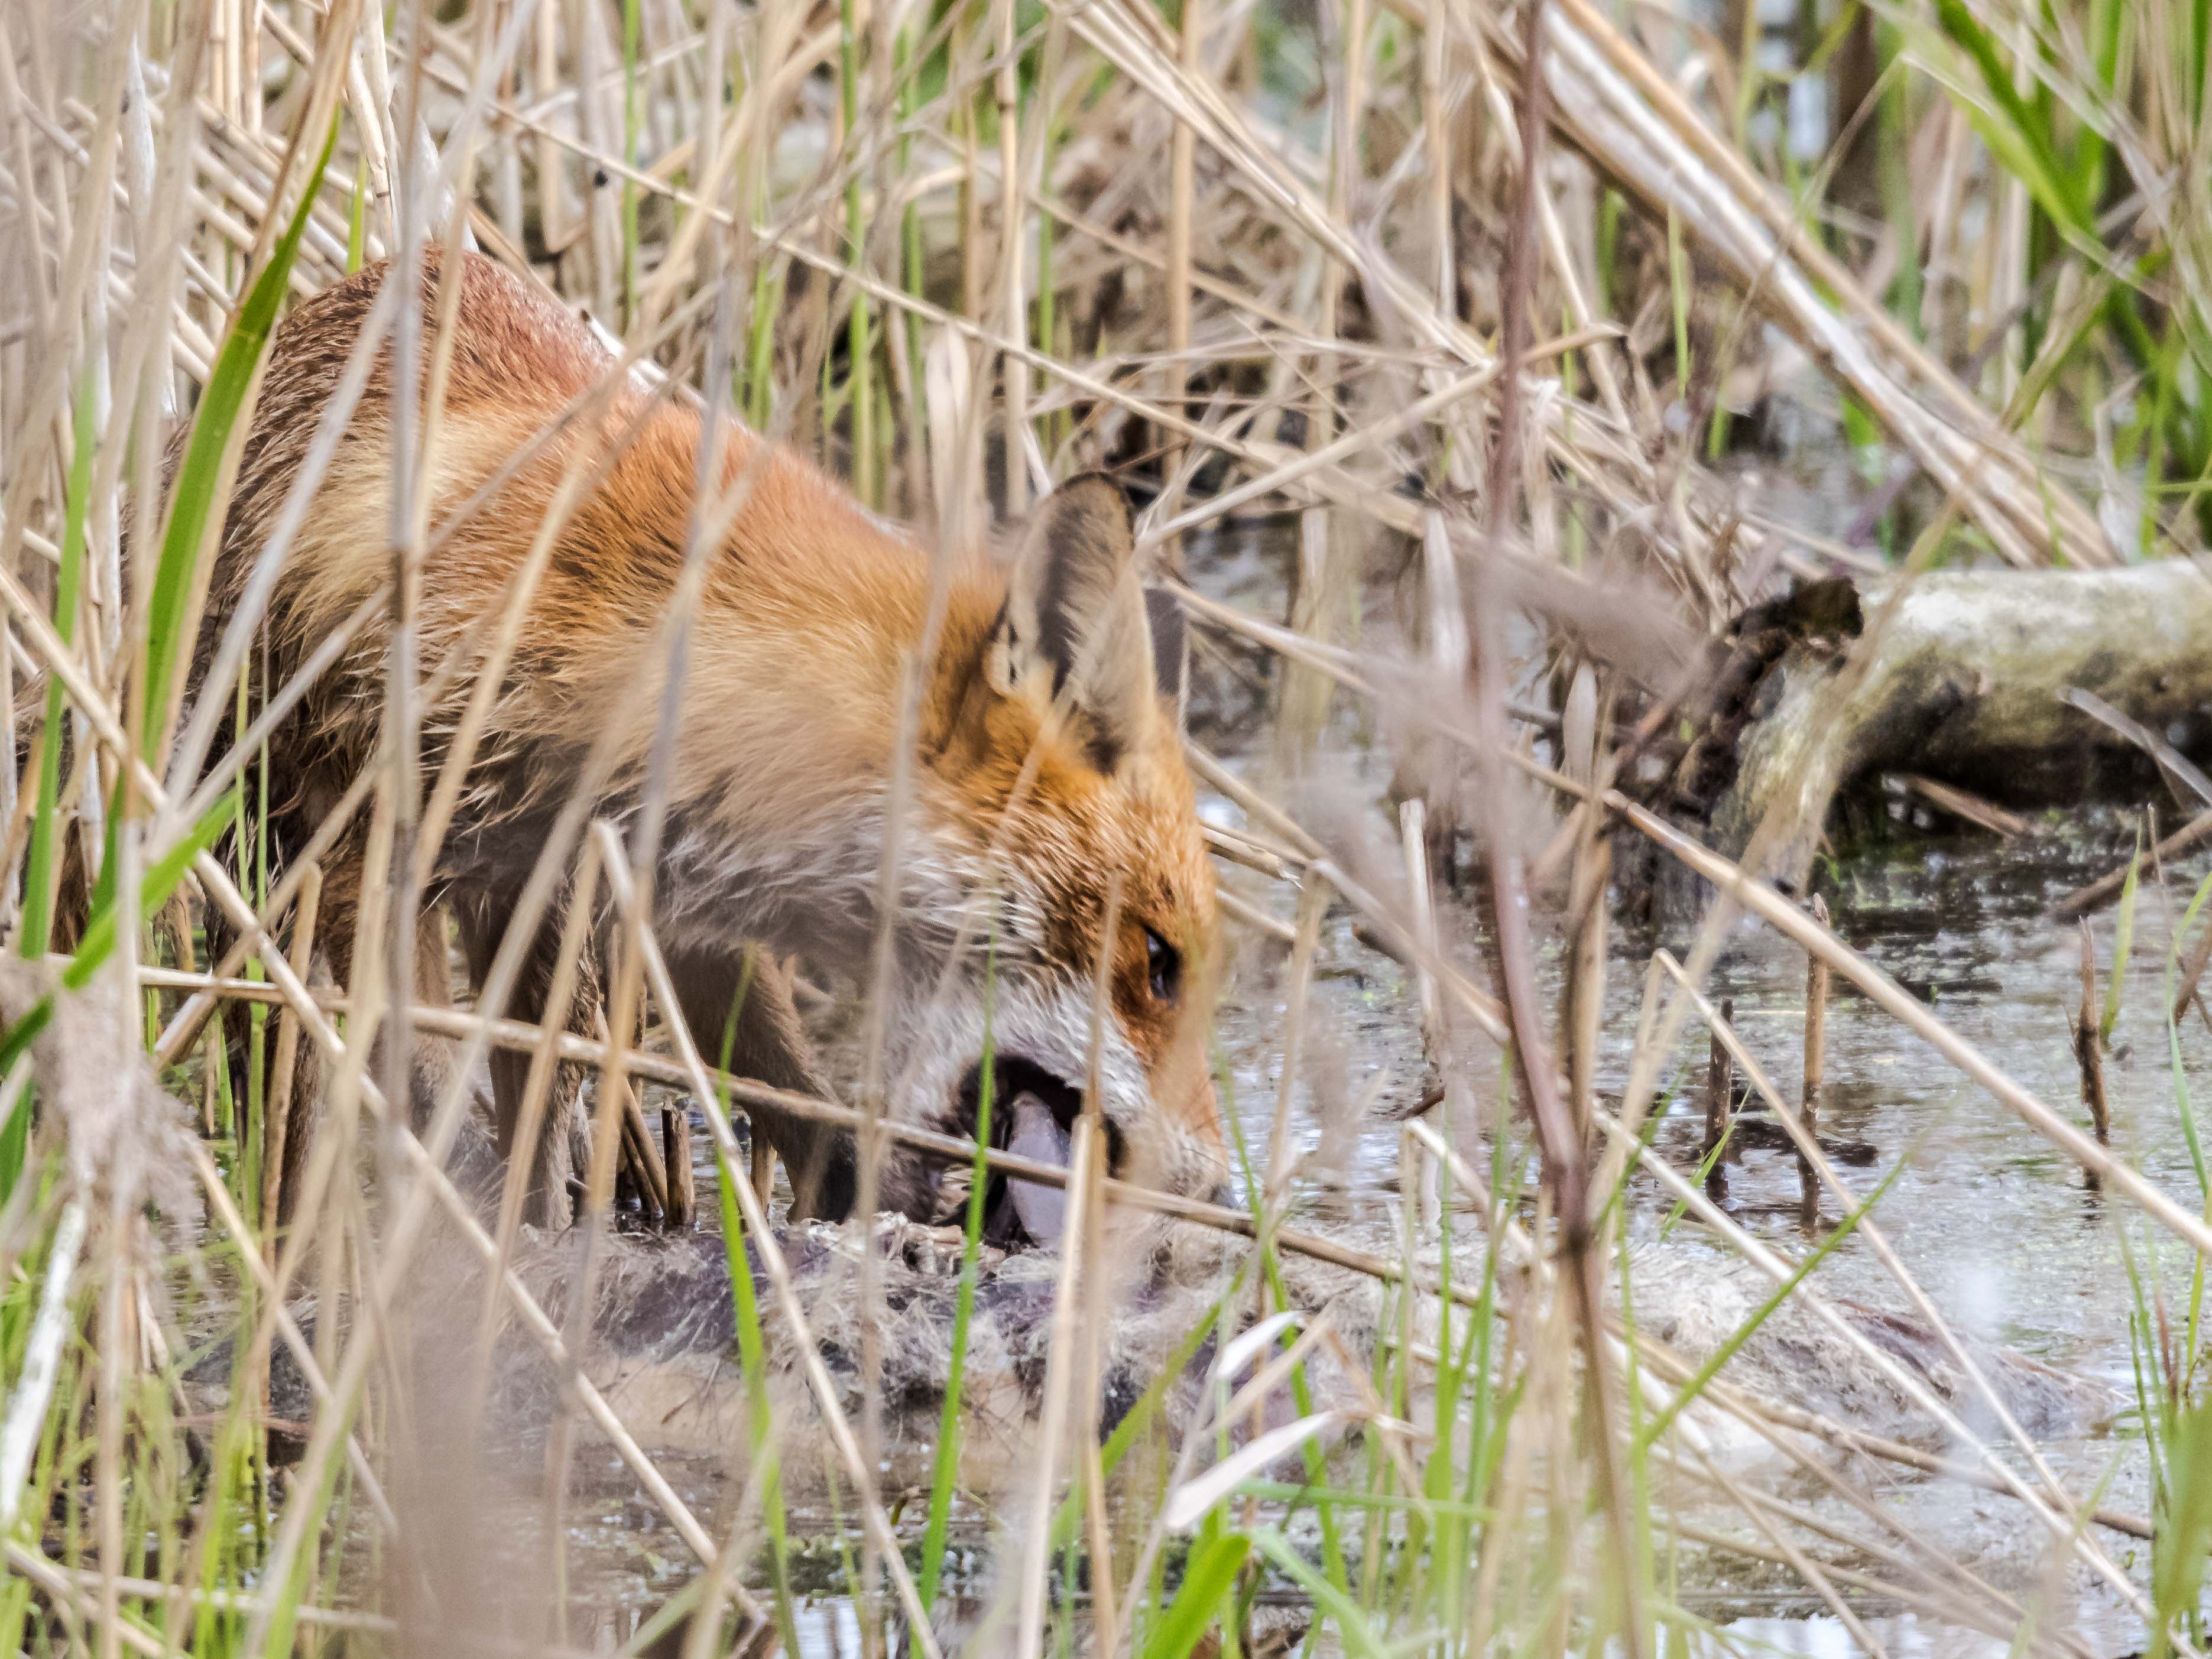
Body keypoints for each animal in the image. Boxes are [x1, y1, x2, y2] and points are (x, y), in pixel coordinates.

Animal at [179, 250, 1223, 1238]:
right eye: (1157, 959)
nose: (1216, 1186)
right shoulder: (378, 852)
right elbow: (425, 1085)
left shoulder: (670, 901)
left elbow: (806, 1120)